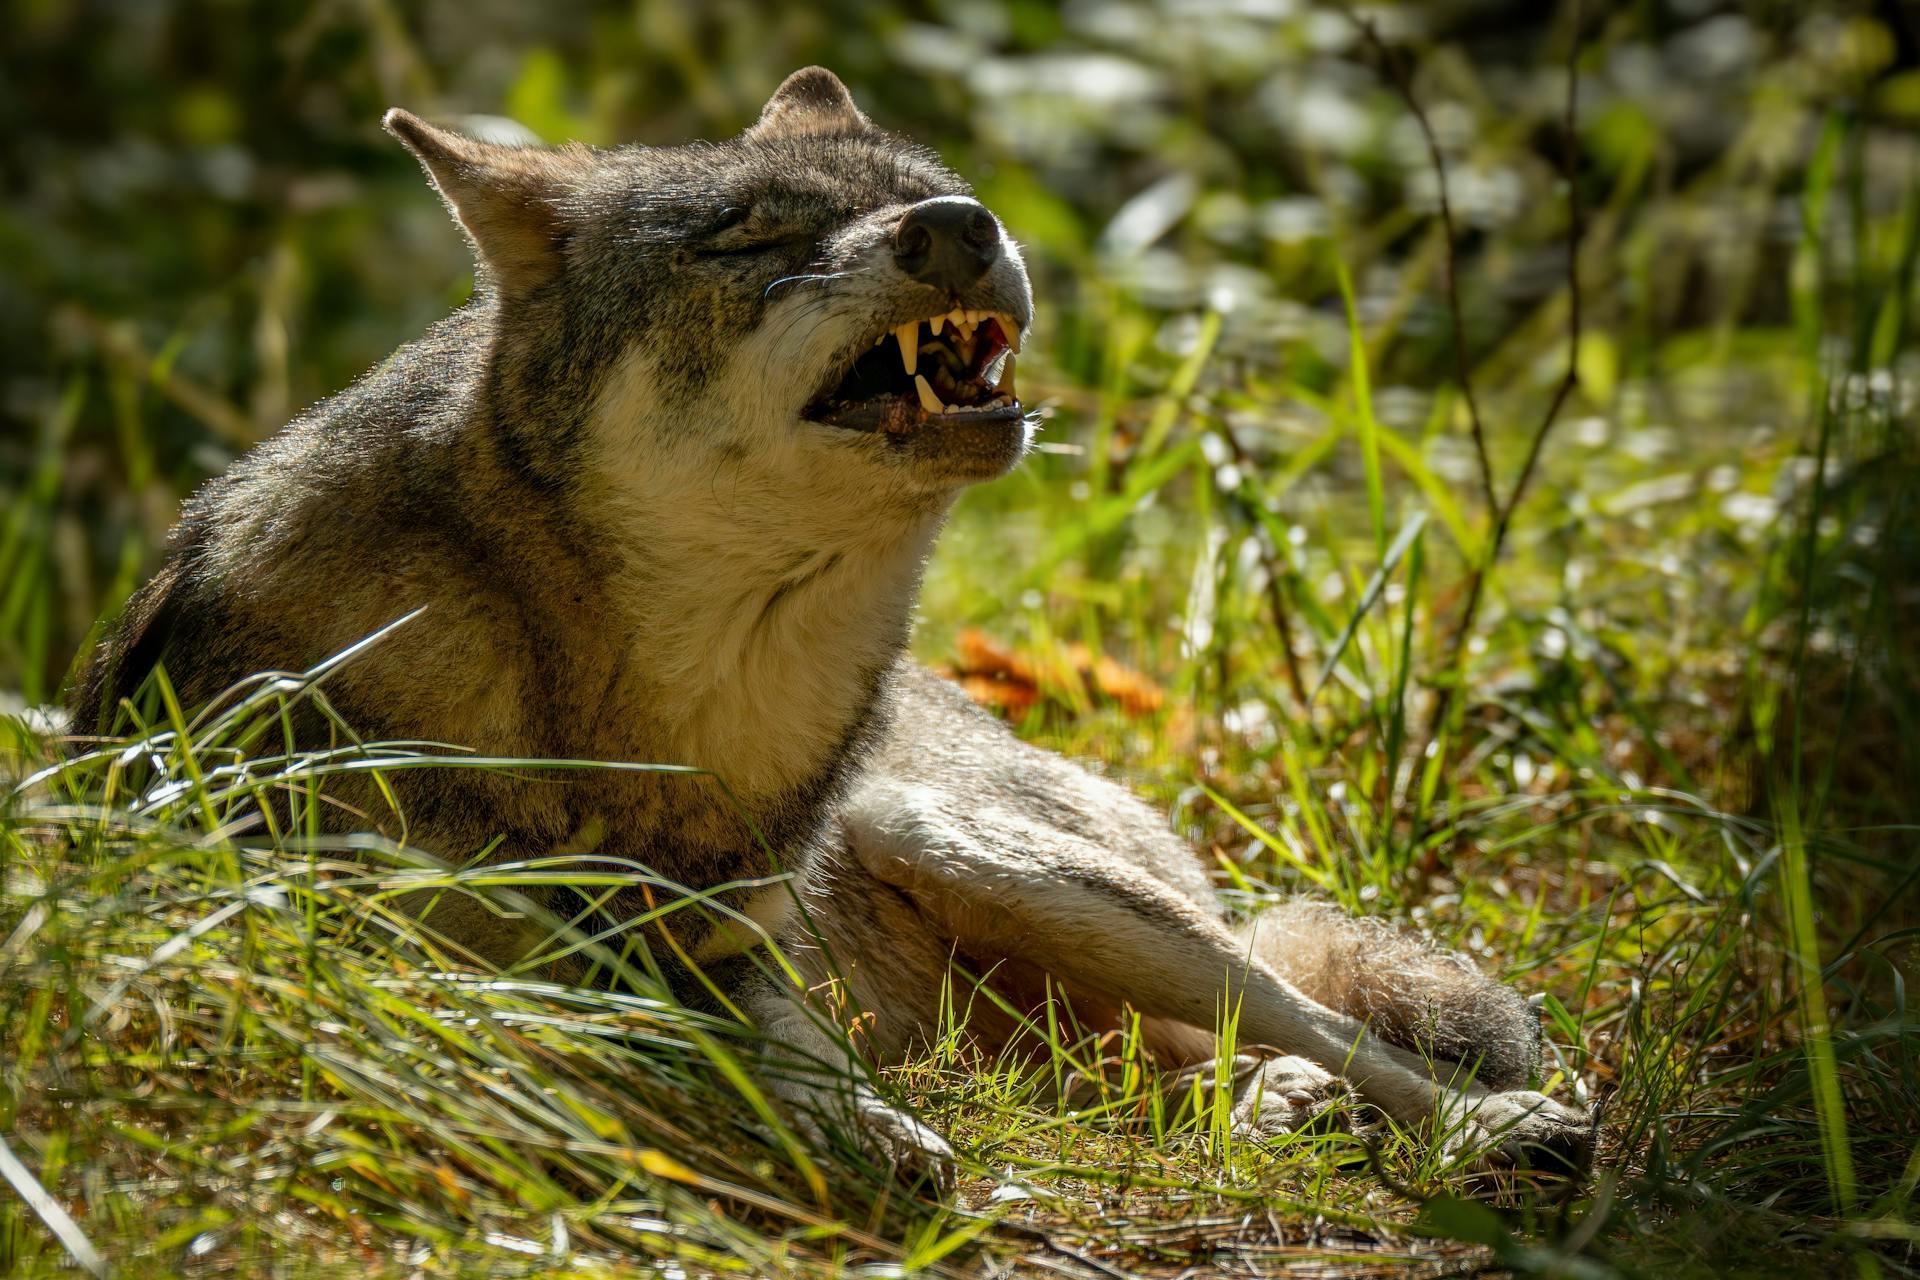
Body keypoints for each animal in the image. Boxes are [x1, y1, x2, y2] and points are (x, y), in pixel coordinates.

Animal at [74, 67, 1589, 1189]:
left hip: (970, 845)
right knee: (1162, 1065)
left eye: (918, 195)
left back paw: (1468, 1120)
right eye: (749, 238)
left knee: (1319, 1019)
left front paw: (859, 1124)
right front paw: (851, 1125)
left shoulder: (742, 939)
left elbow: (781, 1040)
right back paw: (1276, 1104)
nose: (962, 227)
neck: (657, 717)